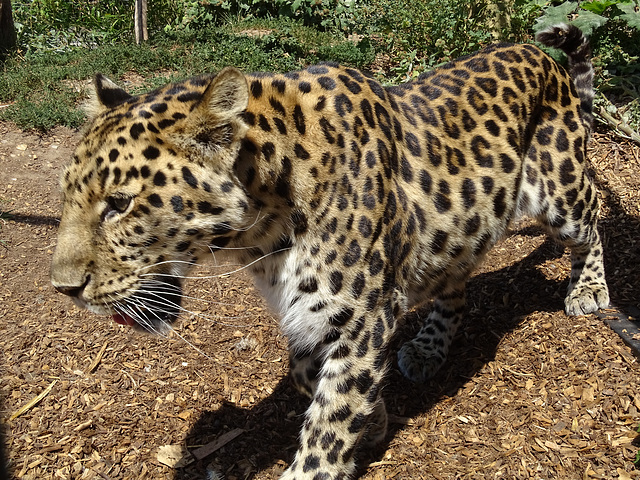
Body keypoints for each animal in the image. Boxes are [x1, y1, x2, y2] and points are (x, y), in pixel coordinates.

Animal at [52, 25, 608, 480]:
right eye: (69, 196)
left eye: (119, 204)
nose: (63, 288)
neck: (265, 221)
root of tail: (543, 57)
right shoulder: (312, 311)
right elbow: (310, 376)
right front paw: (377, 419)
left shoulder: (366, 313)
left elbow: (332, 416)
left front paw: (321, 462)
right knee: (455, 285)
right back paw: (428, 347)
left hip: (559, 189)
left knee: (594, 219)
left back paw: (589, 290)